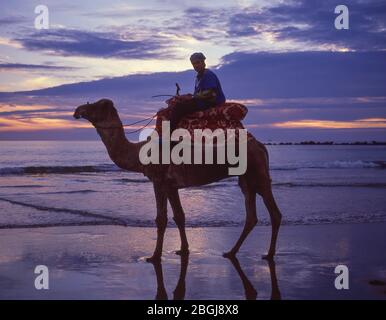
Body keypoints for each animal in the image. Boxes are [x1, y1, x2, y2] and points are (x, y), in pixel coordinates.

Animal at [74, 99, 282, 262]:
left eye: (96, 105)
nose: (77, 110)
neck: (139, 153)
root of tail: (261, 146)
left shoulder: (159, 181)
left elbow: (161, 219)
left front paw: (154, 256)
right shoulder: (171, 185)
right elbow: (179, 216)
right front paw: (183, 250)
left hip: (258, 174)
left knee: (274, 213)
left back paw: (269, 254)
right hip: (246, 179)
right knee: (251, 216)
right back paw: (231, 252)